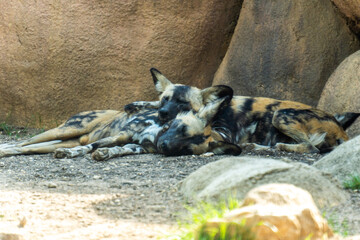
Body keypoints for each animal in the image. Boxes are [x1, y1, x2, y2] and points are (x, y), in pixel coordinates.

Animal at [0, 68, 236, 159]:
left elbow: (115, 150)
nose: (162, 112)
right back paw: (5, 149)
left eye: (186, 148)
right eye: (165, 99)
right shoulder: (122, 135)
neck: (158, 131)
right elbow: (91, 147)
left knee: (28, 148)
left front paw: (105, 154)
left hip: (64, 139)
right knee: (22, 143)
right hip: (65, 130)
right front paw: (79, 153)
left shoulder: (137, 146)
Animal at [125, 70, 358, 156]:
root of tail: (341, 129)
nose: (164, 113)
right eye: (166, 99)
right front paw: (137, 104)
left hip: (280, 115)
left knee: (310, 147)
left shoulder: (225, 132)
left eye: (184, 104)